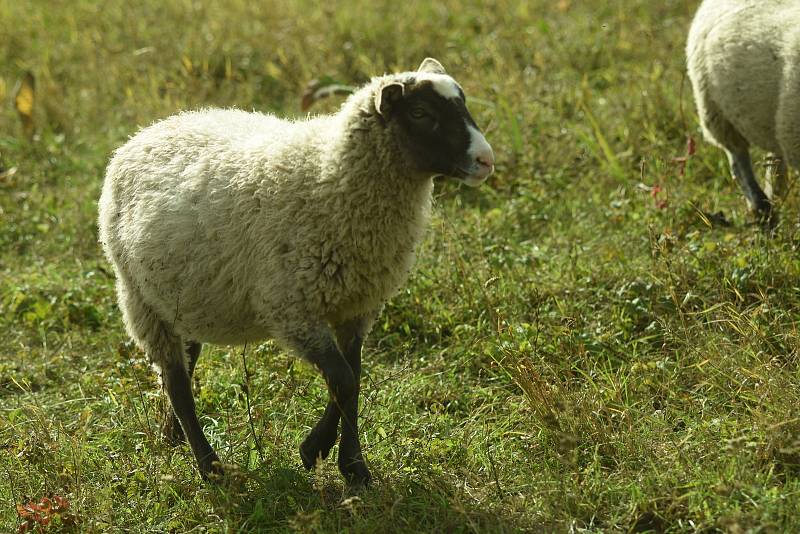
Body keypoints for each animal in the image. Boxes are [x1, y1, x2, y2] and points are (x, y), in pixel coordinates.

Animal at [99, 57, 494, 486]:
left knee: (186, 362)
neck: (330, 175)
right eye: (421, 113)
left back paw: (173, 435)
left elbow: (353, 377)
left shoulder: (358, 306)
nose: (485, 160)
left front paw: (346, 461)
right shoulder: (293, 308)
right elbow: (344, 379)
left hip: (181, 295)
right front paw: (323, 453)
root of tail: (146, 132)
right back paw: (210, 466)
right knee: (175, 379)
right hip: (139, 299)